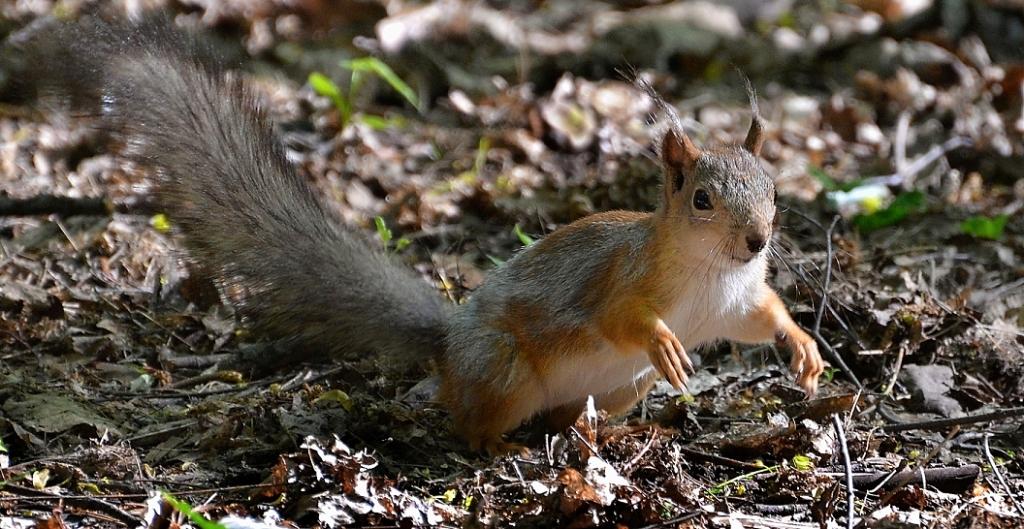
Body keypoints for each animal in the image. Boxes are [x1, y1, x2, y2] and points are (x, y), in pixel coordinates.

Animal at [16, 16, 823, 454]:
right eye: (702, 199)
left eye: (773, 189)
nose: (757, 241)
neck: (709, 272)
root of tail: (449, 344)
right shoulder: (622, 279)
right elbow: (625, 317)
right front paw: (665, 339)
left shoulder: (733, 303)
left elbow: (762, 317)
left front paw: (804, 348)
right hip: (504, 369)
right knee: (466, 418)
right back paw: (493, 443)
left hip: (620, 388)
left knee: (568, 418)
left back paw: (604, 436)